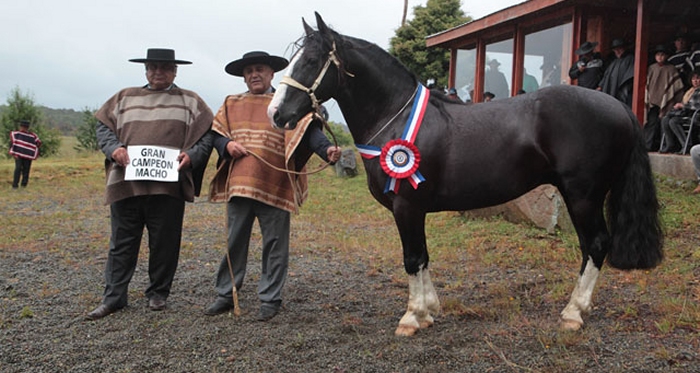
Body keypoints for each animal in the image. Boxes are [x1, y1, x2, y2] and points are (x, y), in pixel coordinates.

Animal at [268, 13, 660, 336]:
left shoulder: (406, 206)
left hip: (583, 196)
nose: (276, 113)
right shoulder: (415, 209)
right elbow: (423, 256)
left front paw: (411, 318)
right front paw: (429, 311)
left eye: (312, 61)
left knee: (595, 244)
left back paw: (573, 313)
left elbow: (412, 258)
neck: (396, 116)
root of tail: (618, 105)